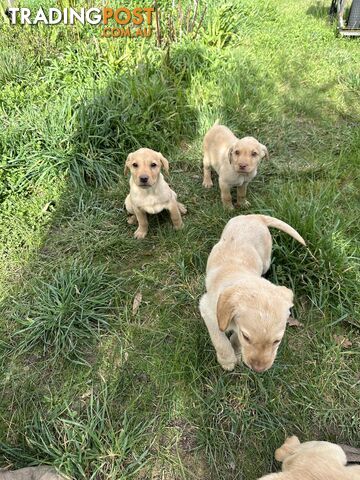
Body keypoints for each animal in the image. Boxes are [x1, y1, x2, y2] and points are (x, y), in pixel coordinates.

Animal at [198, 214, 306, 372]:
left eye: (277, 341)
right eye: (247, 337)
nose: (258, 369)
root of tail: (255, 216)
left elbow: (234, 339)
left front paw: (237, 351)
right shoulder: (208, 311)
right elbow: (220, 340)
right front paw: (228, 360)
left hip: (266, 260)